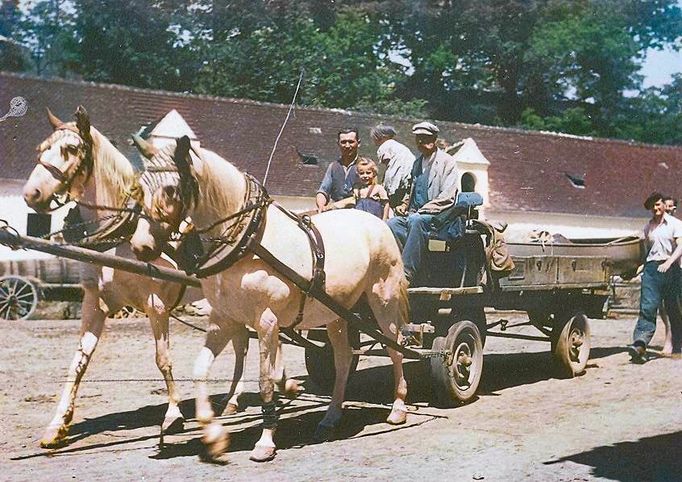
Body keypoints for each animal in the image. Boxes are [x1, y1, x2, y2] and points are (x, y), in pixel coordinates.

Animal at [21, 108, 255, 448]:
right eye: (41, 148)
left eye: (71, 149)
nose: (31, 194)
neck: (119, 237)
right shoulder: (94, 303)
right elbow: (78, 361)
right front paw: (57, 423)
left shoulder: (155, 304)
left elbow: (163, 358)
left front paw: (173, 415)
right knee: (241, 341)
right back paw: (233, 399)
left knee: (244, 343)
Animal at [129, 137, 410, 464]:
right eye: (140, 186)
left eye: (172, 189)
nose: (140, 246)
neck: (248, 240)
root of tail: (377, 222)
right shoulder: (224, 319)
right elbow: (201, 370)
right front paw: (213, 436)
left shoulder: (266, 320)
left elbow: (265, 379)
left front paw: (265, 442)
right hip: (337, 314)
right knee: (342, 359)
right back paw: (331, 417)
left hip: (383, 299)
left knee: (395, 347)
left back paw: (398, 408)